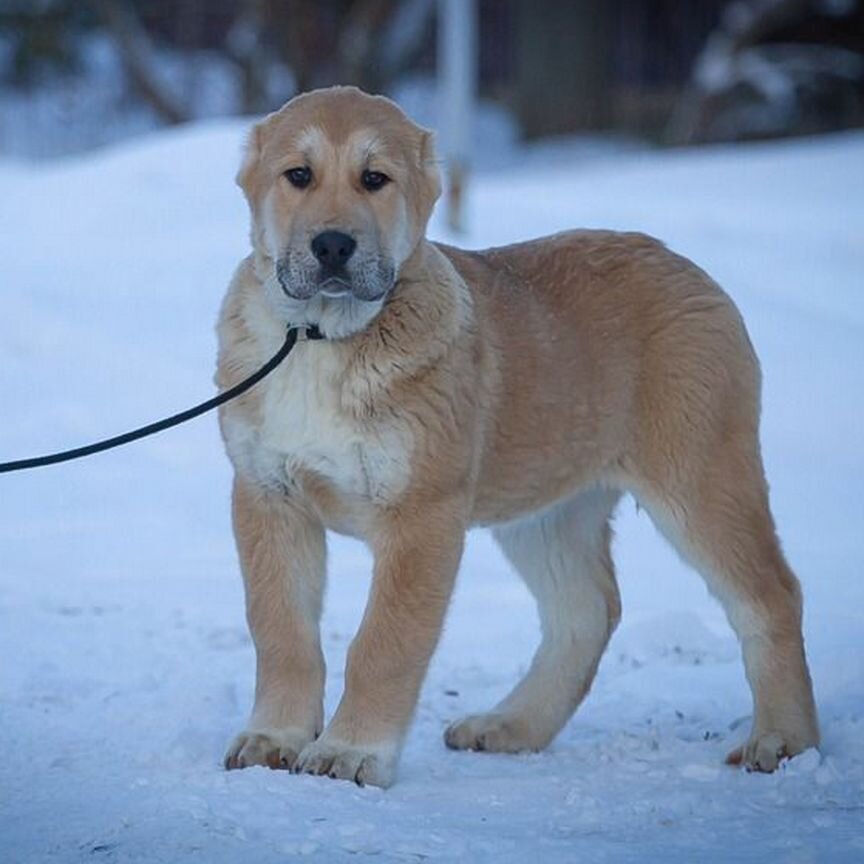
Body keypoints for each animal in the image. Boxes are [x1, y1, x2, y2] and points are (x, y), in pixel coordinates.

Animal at [216, 84, 816, 788]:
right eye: (298, 176)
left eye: (375, 180)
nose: (333, 245)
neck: (319, 340)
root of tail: (682, 264)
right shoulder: (267, 497)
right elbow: (282, 631)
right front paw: (275, 735)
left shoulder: (422, 515)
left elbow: (384, 642)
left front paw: (352, 750)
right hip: (546, 507)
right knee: (587, 611)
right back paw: (513, 726)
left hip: (700, 477)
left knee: (771, 595)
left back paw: (784, 739)